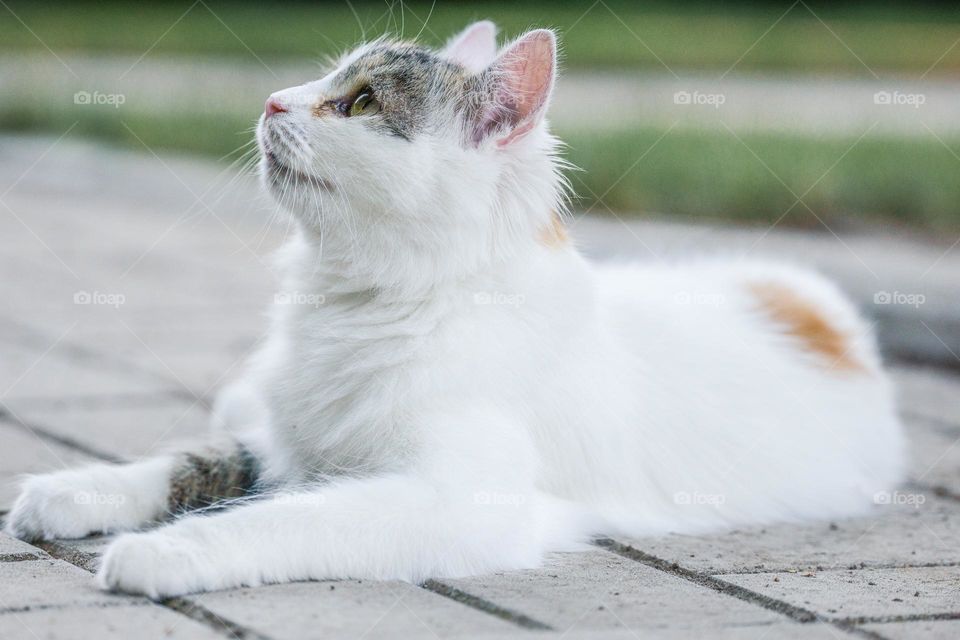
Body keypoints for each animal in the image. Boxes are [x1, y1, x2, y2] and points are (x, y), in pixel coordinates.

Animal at [7, 21, 904, 600]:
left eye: (361, 103)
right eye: (327, 84)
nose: (270, 101)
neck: (361, 299)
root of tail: (822, 309)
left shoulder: (451, 496)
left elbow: (283, 518)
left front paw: (160, 554)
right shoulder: (292, 444)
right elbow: (185, 463)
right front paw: (72, 492)